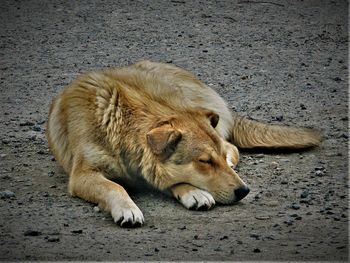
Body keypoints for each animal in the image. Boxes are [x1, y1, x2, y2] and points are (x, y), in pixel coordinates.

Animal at [46, 60, 320, 228]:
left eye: (211, 160)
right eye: (204, 161)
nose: (244, 191)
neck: (119, 123)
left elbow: (170, 178)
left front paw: (192, 191)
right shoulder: (83, 175)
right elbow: (114, 187)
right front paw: (127, 207)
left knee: (232, 147)